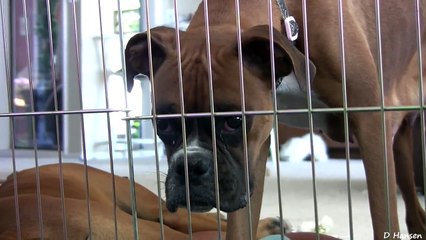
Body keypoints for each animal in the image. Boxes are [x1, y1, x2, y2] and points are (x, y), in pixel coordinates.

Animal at [125, 0, 424, 240]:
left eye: (233, 121)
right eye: (163, 124)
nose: (189, 166)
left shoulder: (370, 125)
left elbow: (384, 216)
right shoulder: (255, 152)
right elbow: (240, 227)